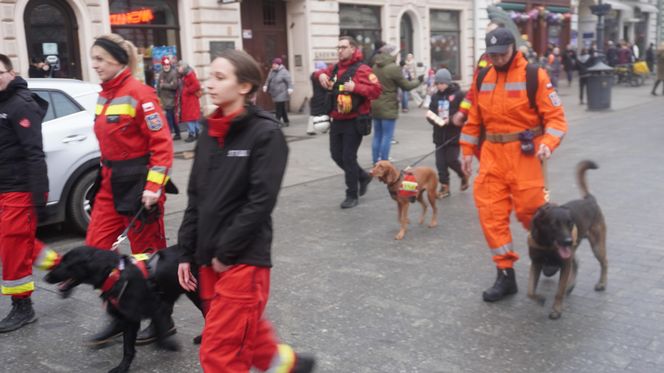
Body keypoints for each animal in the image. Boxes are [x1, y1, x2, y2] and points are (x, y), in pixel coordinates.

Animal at [44, 246, 201, 370]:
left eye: (66, 262)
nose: (45, 277)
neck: (113, 273)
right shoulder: (128, 316)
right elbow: (124, 339)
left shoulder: (148, 311)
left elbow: (149, 339)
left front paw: (168, 345)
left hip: (195, 293)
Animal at [528, 158, 608, 318]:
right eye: (554, 225)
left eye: (570, 224)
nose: (568, 241)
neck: (547, 245)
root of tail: (589, 199)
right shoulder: (536, 263)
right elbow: (530, 291)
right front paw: (539, 299)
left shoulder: (564, 264)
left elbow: (559, 291)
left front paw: (556, 309)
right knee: (576, 263)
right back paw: (570, 286)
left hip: (597, 246)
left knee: (604, 262)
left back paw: (601, 283)